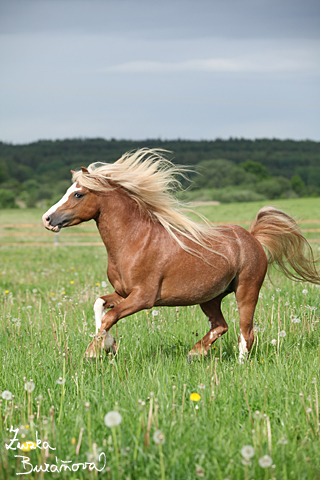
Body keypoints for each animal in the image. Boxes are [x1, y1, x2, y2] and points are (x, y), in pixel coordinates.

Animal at [42, 148, 320, 362]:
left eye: (78, 193)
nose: (47, 219)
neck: (134, 241)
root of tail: (252, 238)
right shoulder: (123, 293)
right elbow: (100, 306)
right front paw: (107, 345)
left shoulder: (144, 298)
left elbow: (110, 316)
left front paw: (93, 351)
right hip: (210, 297)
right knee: (221, 325)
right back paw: (195, 353)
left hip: (246, 291)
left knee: (246, 332)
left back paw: (239, 365)